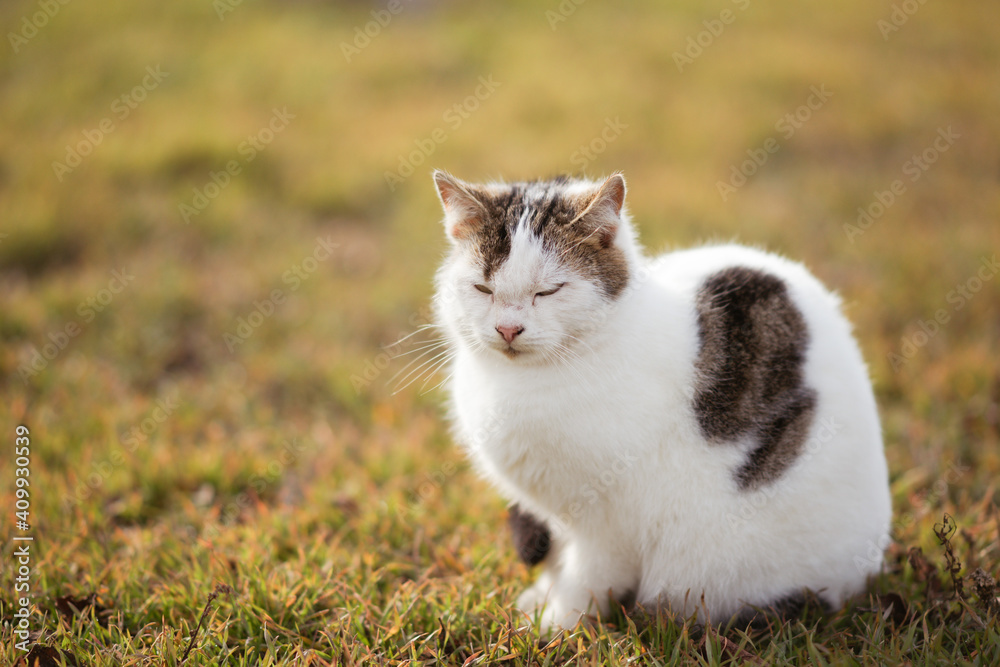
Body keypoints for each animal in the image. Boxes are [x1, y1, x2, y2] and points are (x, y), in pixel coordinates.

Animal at [430, 170, 892, 636]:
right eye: (482, 289)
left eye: (549, 291)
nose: (508, 329)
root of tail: (861, 581)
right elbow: (557, 557)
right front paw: (541, 598)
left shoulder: (606, 522)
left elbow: (587, 576)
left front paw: (556, 625)